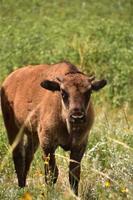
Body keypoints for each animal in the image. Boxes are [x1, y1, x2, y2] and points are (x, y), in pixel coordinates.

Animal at [0, 61, 106, 195]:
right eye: (63, 92)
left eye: (89, 92)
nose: (77, 116)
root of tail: (9, 79)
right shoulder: (48, 144)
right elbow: (52, 173)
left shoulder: (79, 145)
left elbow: (74, 175)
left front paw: (75, 195)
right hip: (13, 129)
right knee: (18, 156)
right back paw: (21, 188)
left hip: (33, 135)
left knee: (28, 156)